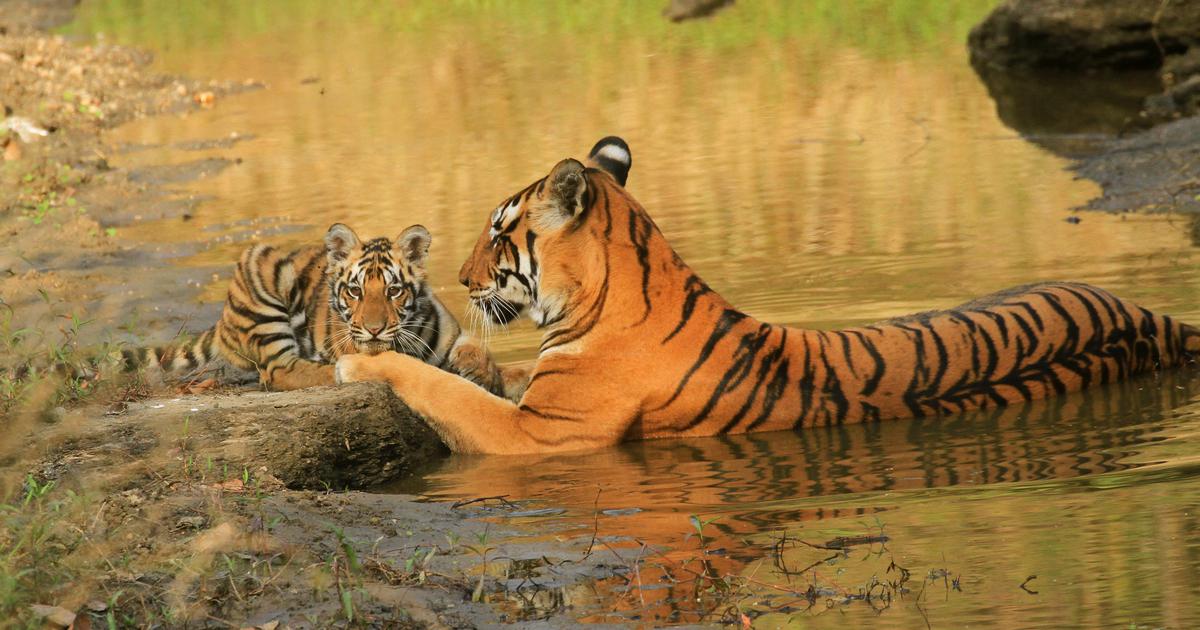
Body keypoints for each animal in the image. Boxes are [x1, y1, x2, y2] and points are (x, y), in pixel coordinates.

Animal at [125, 222, 527, 398]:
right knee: (280, 371)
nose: (375, 329)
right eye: (355, 291)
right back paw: (332, 372)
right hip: (261, 271)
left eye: (394, 290)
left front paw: (482, 372)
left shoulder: (451, 334)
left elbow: (476, 350)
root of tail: (223, 319)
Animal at [334, 136, 1200, 454]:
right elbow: (488, 375)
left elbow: (443, 391)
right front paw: (472, 357)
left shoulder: (542, 434)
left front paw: (360, 361)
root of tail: (1159, 319)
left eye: (498, 232)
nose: (462, 277)